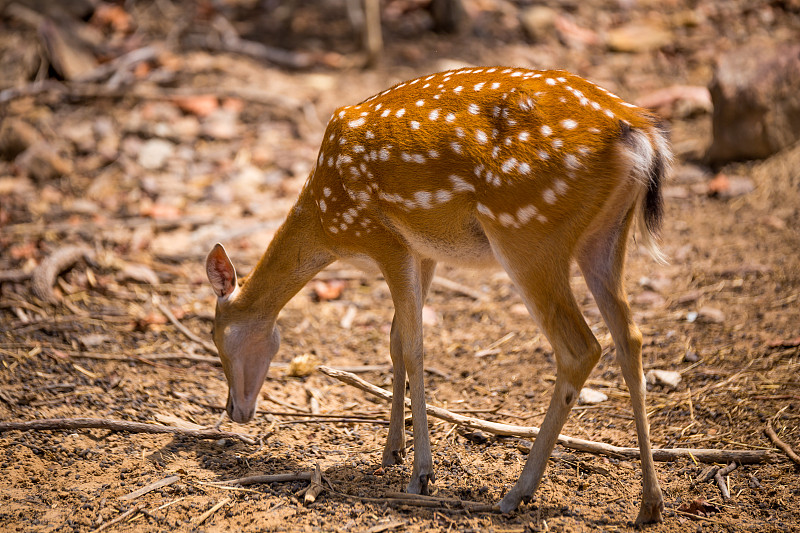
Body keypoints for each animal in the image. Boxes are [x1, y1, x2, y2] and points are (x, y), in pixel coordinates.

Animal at [205, 66, 668, 524]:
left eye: (218, 338)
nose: (233, 410)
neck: (326, 221)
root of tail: (639, 132)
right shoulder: (423, 251)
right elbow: (394, 341)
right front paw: (392, 451)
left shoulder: (383, 237)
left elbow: (413, 347)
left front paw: (421, 474)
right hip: (606, 236)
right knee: (630, 338)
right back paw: (649, 504)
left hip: (528, 232)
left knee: (580, 347)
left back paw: (517, 493)